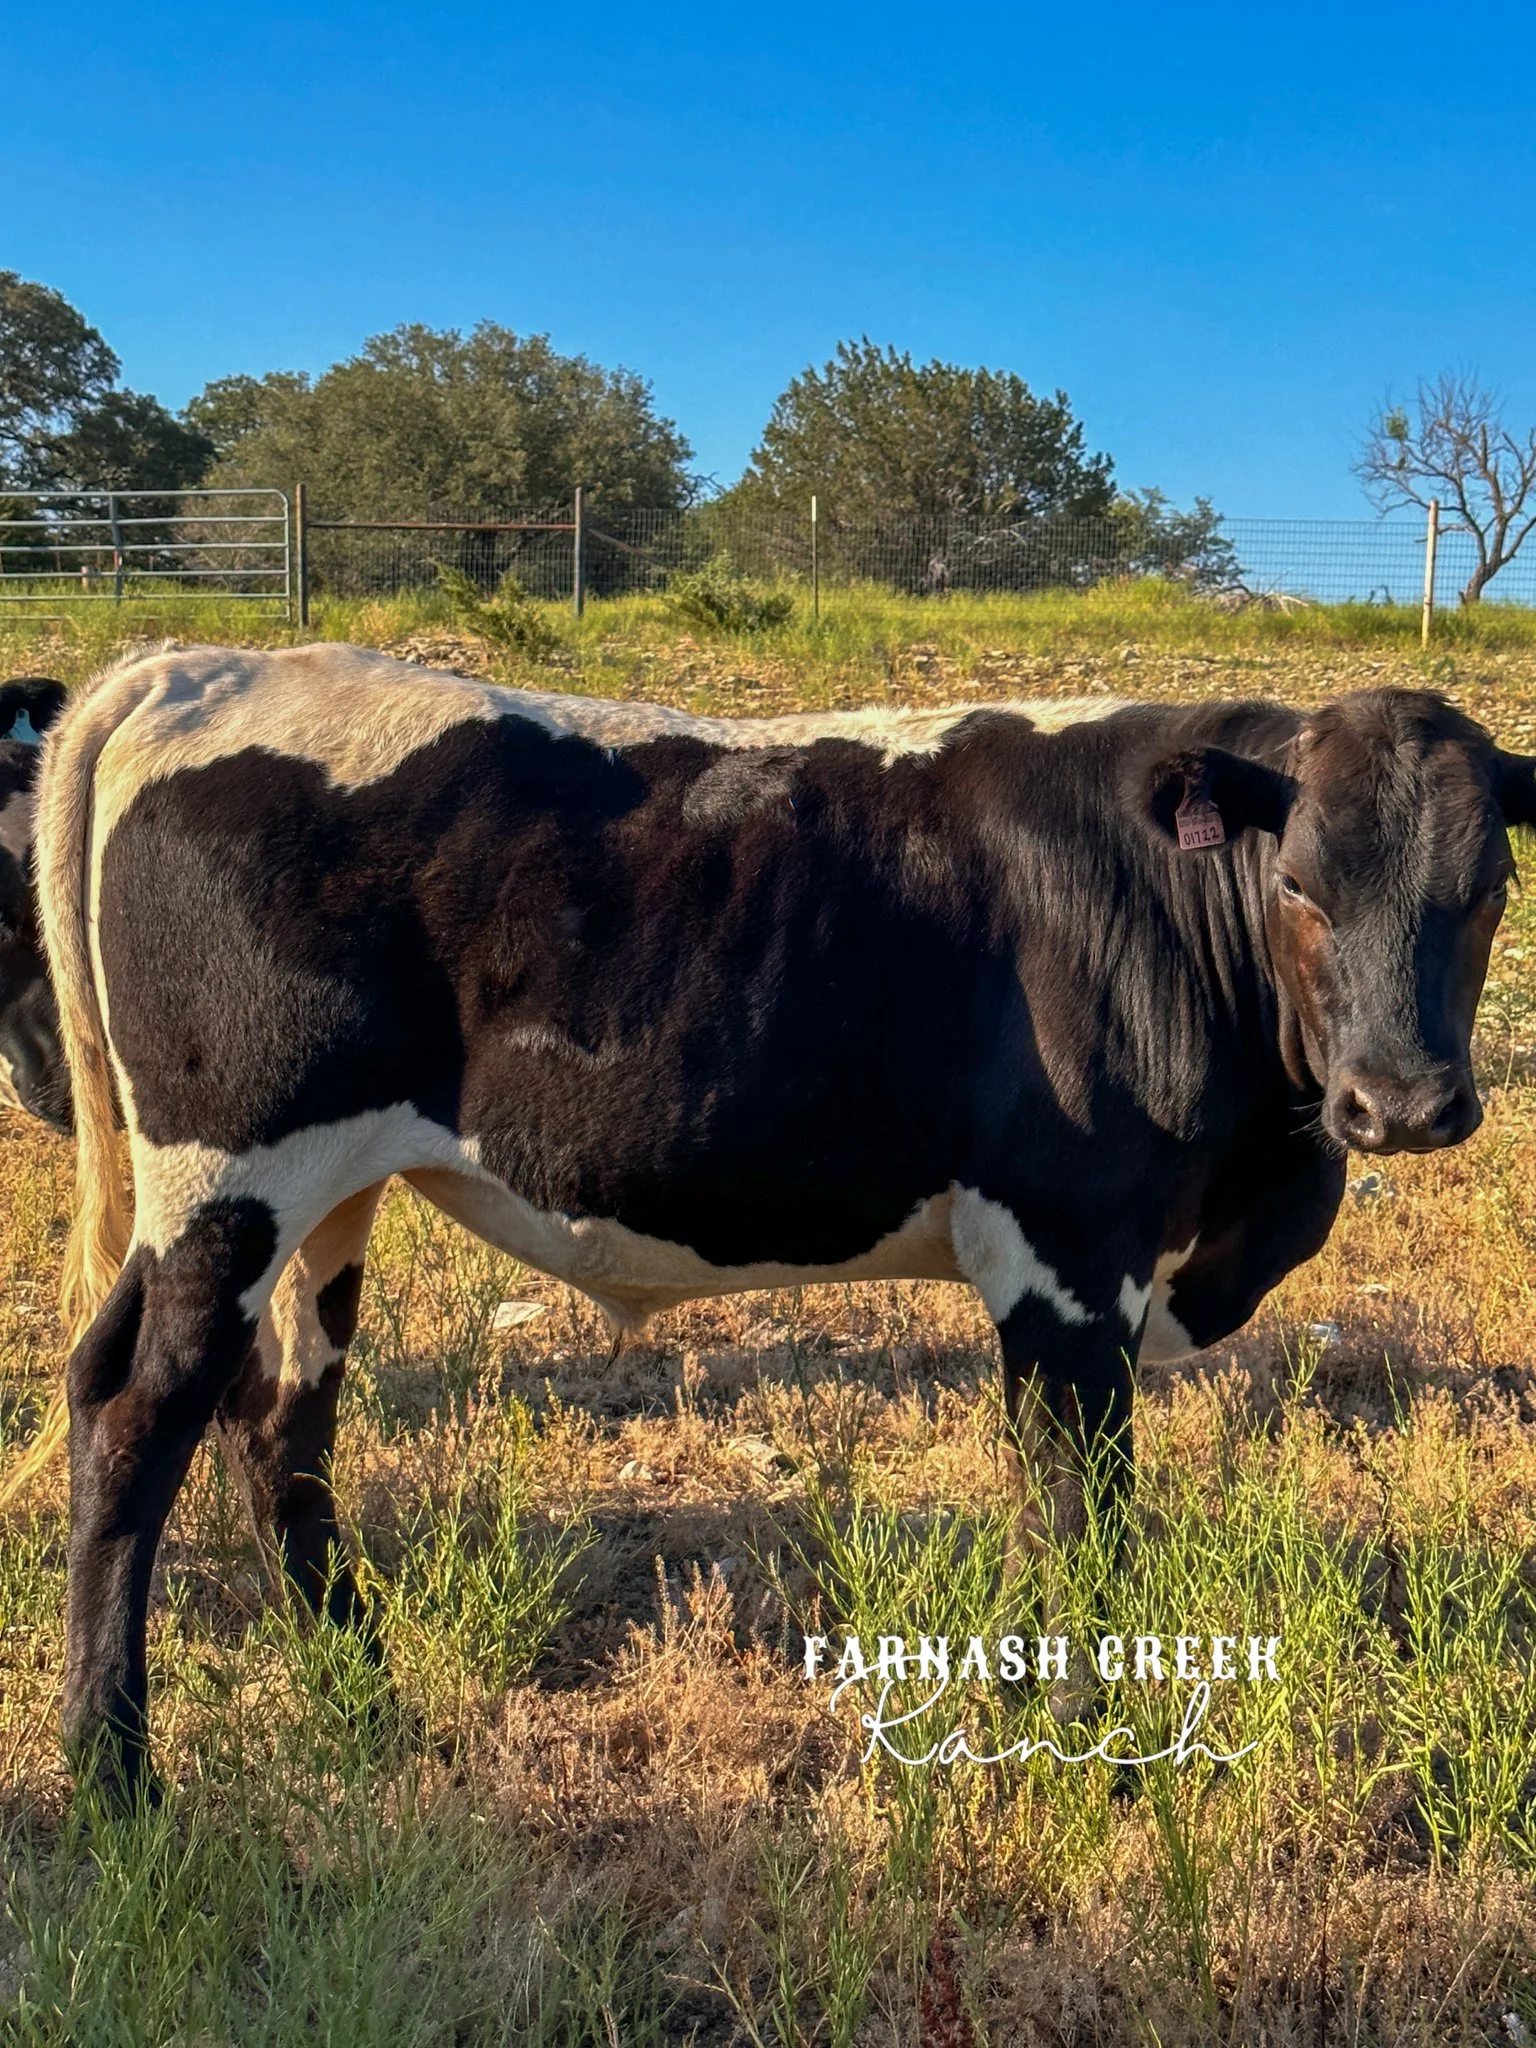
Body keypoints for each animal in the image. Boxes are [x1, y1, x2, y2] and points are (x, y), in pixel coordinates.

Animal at [15, 642, 1533, 1800]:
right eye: (1300, 885)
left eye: (1490, 889)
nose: (1400, 1102)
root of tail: (196, 664)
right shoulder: (1067, 1250)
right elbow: (1076, 1508)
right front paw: (1081, 1747)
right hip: (230, 1172)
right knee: (137, 1410)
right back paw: (113, 1772)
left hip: (324, 1193)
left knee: (276, 1415)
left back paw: (363, 1693)